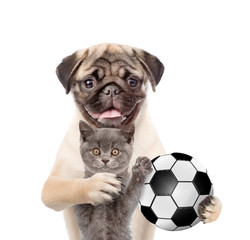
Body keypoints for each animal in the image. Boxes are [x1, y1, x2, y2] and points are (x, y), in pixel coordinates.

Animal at [42, 43, 222, 240]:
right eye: (89, 83)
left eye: (132, 82)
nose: (111, 89)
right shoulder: (52, 186)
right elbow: (72, 186)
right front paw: (96, 185)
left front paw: (212, 207)